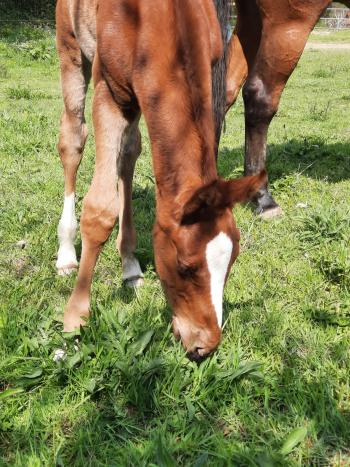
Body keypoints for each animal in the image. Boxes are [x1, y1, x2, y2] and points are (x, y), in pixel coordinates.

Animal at [56, 0, 266, 360]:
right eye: (185, 266)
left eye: (233, 259)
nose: (204, 345)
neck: (163, 19)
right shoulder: (109, 89)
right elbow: (99, 210)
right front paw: (75, 318)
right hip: (70, 48)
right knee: (72, 140)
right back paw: (67, 252)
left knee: (128, 152)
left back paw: (129, 265)